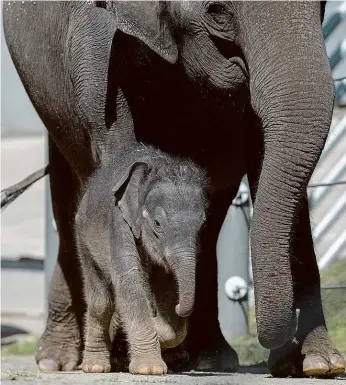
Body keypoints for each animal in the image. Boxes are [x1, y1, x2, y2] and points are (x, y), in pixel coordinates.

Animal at [75, 143, 208, 372]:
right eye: (157, 224)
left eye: (202, 225)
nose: (179, 308)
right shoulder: (119, 223)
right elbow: (131, 283)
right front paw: (149, 369)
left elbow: (167, 290)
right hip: (83, 239)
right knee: (102, 302)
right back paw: (95, 367)